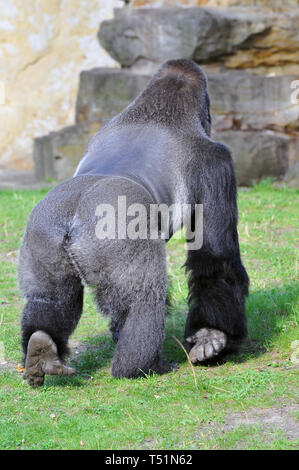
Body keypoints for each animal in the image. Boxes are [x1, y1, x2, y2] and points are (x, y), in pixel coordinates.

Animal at [18, 59, 248, 390]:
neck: (155, 111)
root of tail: (74, 215)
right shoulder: (216, 161)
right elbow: (216, 255)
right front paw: (214, 335)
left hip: (43, 233)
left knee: (51, 296)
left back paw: (41, 347)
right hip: (114, 233)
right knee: (144, 299)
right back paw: (140, 366)